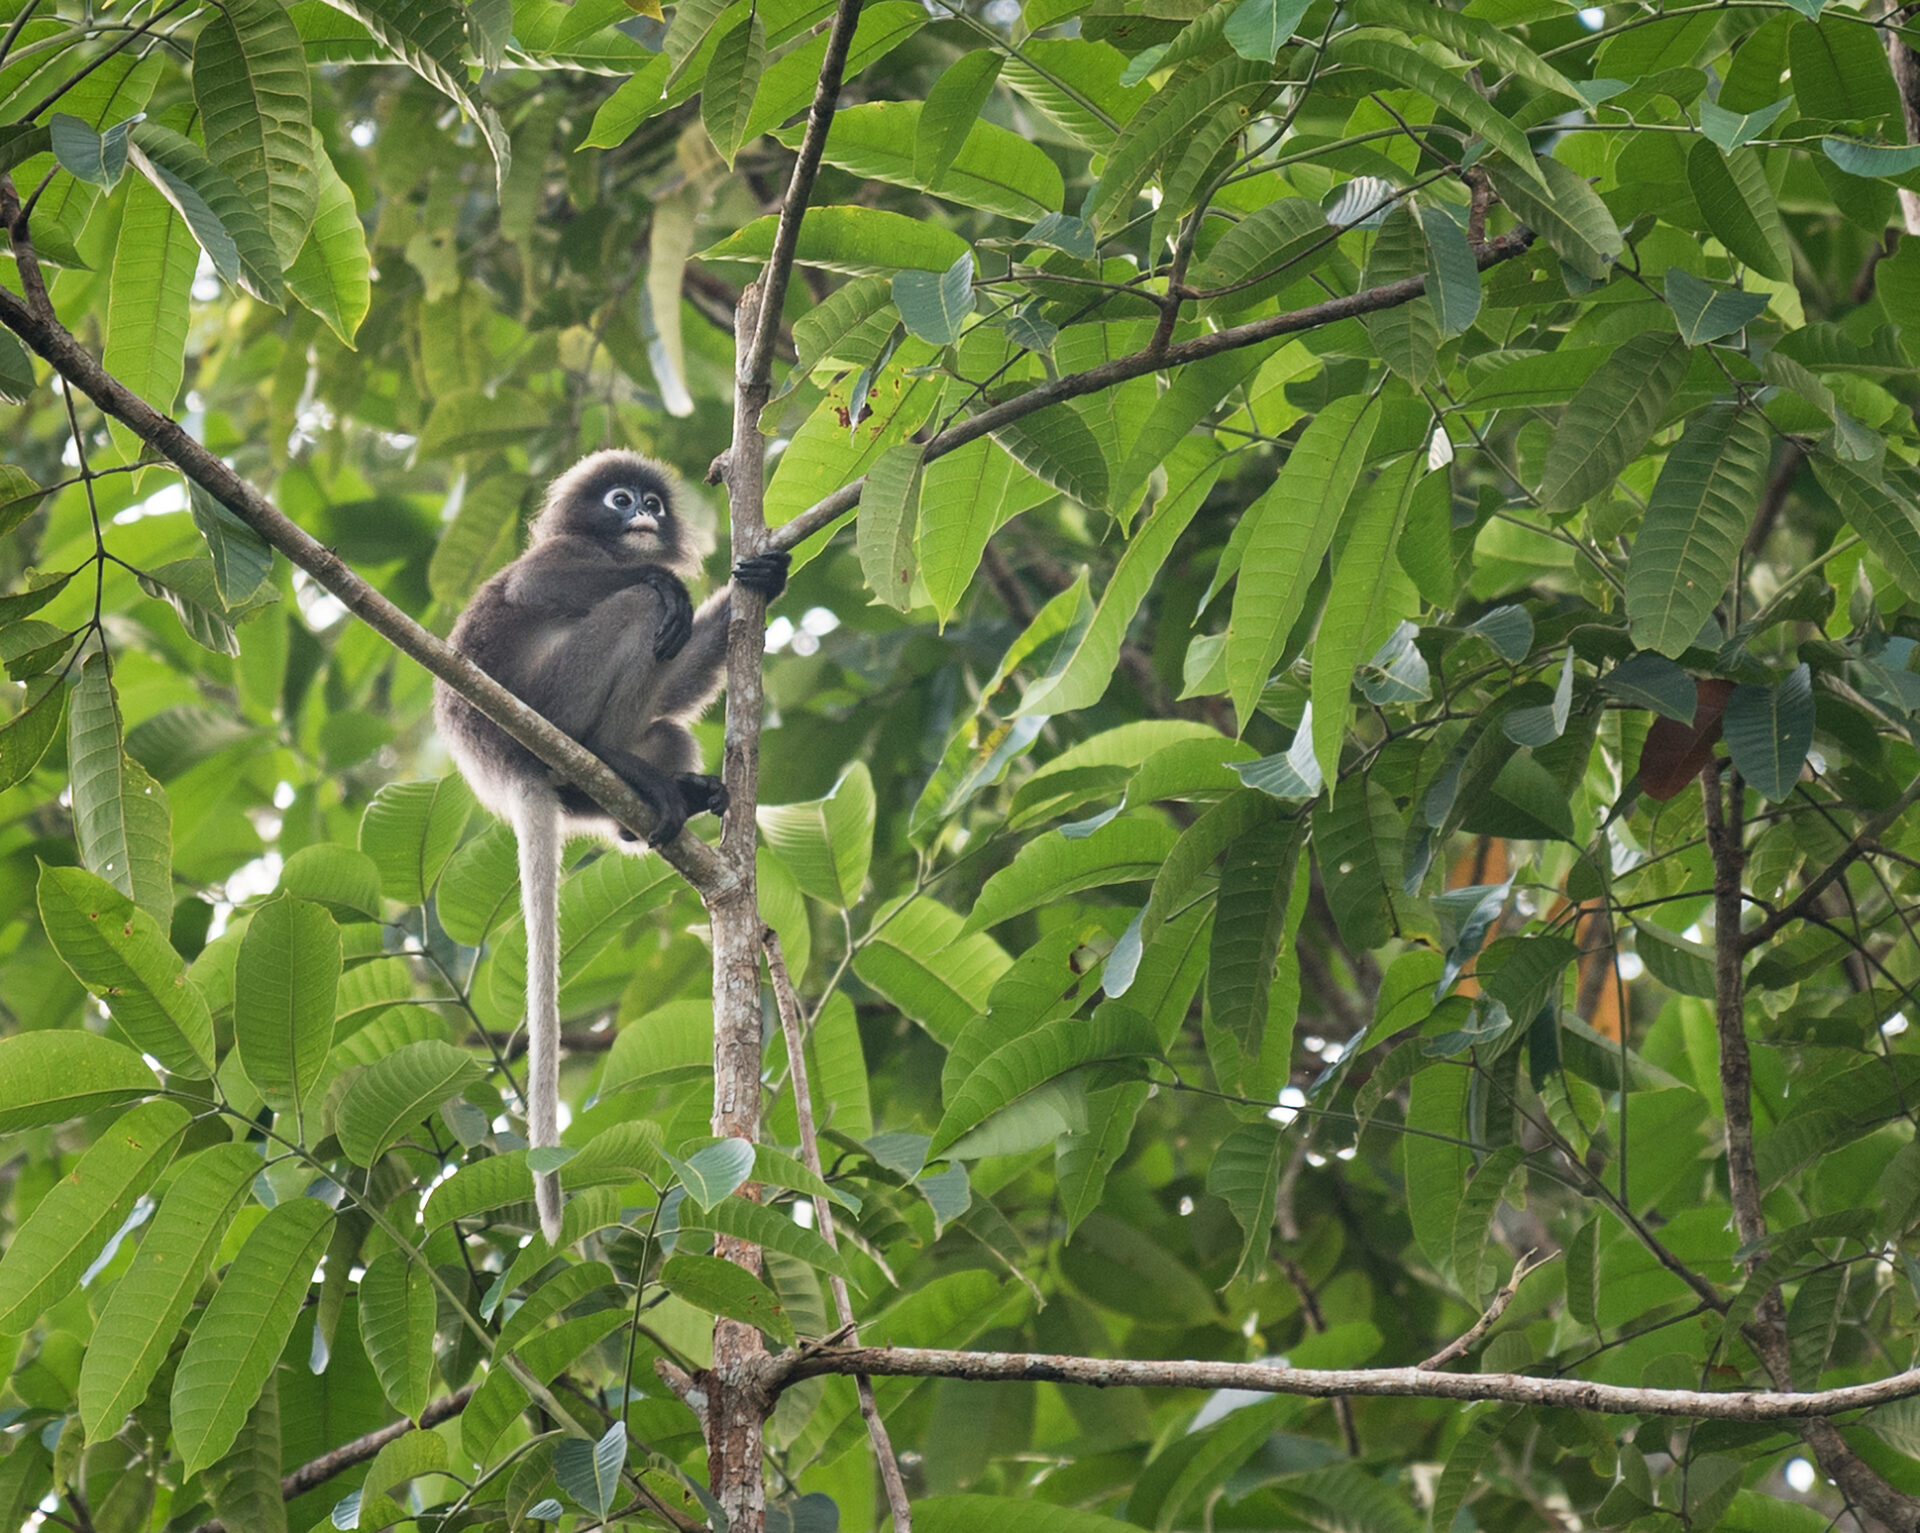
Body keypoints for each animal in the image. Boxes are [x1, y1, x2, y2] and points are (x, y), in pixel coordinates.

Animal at [435, 449, 787, 1244]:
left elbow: (680, 674)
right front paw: (670, 578)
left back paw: (654, 796)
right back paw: (609, 750)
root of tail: (512, 762)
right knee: (636, 608)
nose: (646, 518)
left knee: (666, 716)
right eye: (621, 499)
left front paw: (764, 578)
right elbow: (541, 584)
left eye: (653, 501)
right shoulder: (563, 556)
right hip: (551, 699)